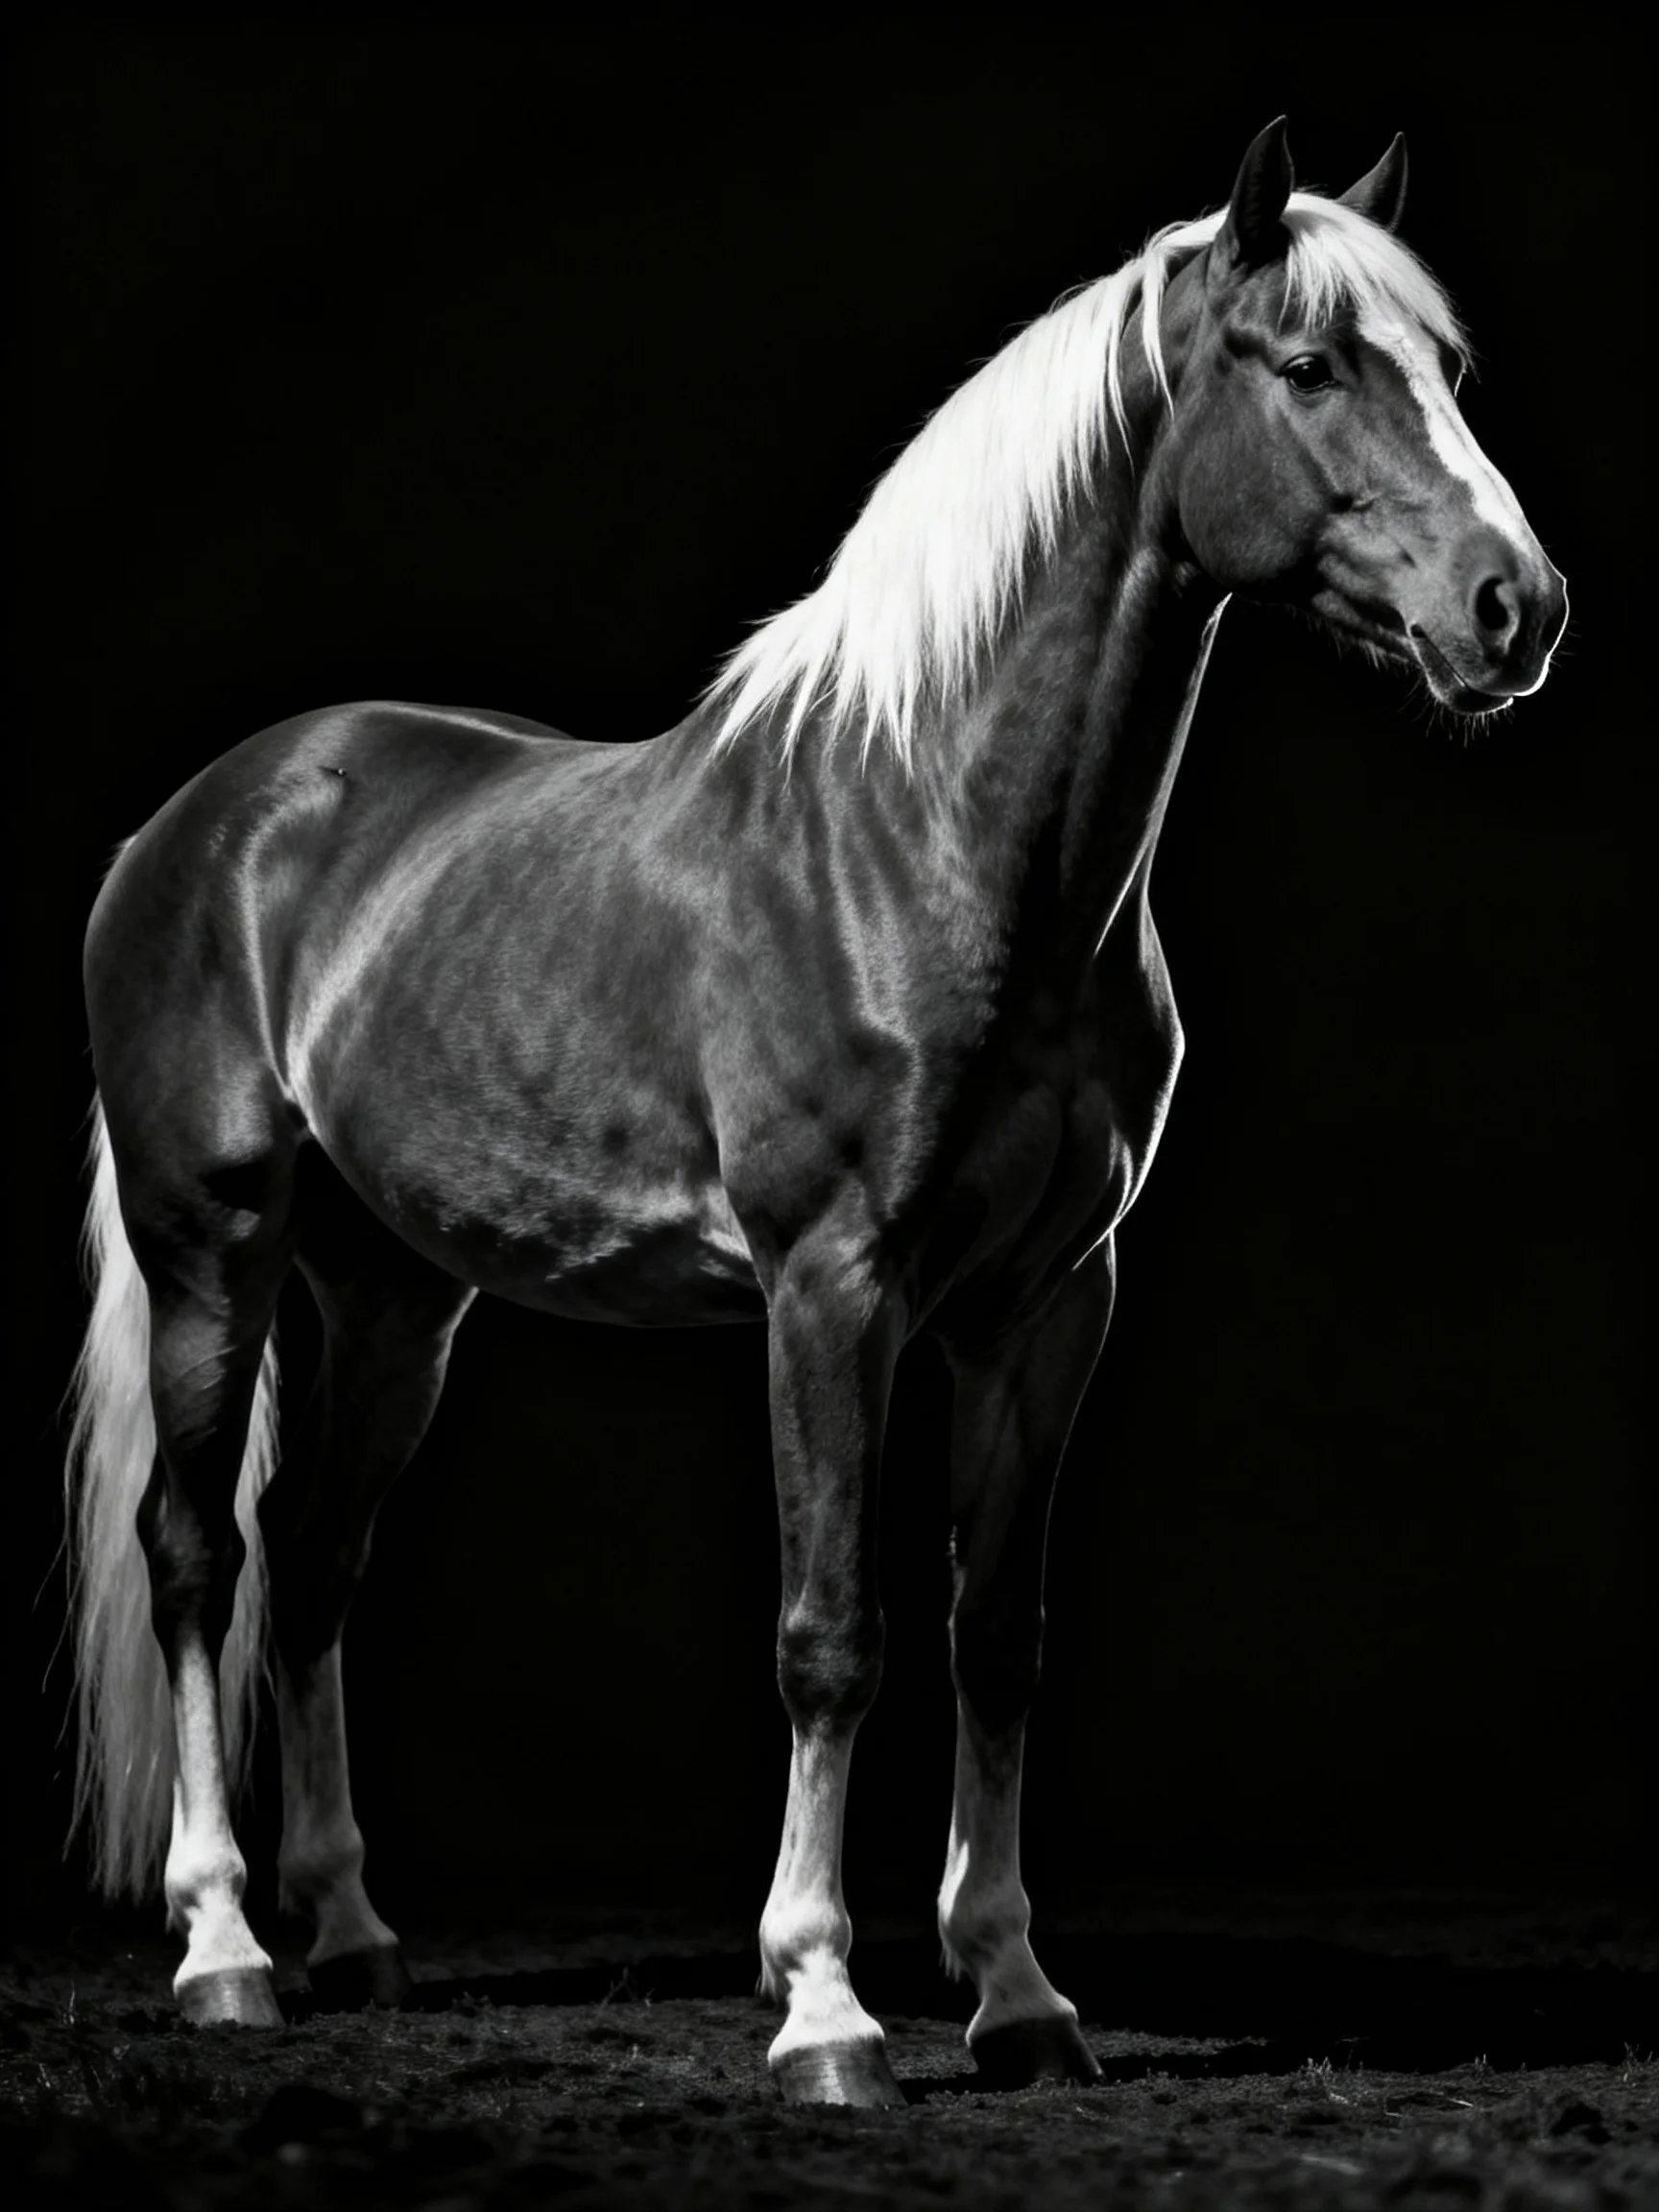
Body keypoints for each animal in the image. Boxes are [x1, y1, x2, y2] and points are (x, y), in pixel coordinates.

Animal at [64, 119, 1566, 2106]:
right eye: (1308, 364)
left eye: (1447, 370)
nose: (1513, 607)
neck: (926, 838)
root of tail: (201, 819)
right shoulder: (828, 1287)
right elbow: (830, 1631)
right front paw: (826, 2003)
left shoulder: (1041, 1306)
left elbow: (991, 1629)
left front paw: (1017, 1993)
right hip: (215, 1253)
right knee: (197, 1552)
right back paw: (226, 1945)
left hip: (393, 1298)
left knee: (312, 1564)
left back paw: (357, 1936)